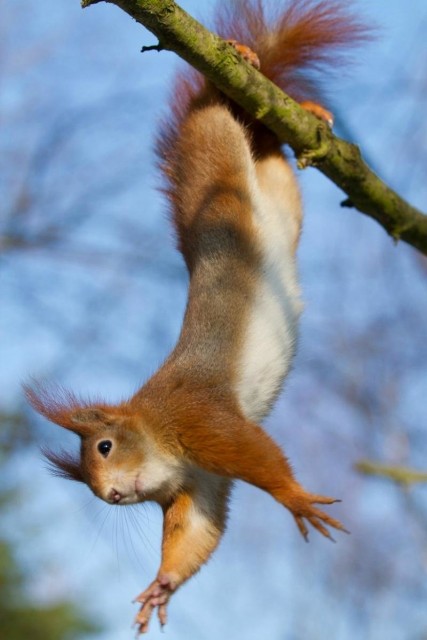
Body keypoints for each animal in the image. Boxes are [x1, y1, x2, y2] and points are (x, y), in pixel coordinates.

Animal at [25, 0, 371, 634]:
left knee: (216, 117)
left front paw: (295, 498)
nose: (111, 498)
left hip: (219, 170)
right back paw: (302, 117)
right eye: (88, 485)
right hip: (279, 200)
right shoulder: (198, 485)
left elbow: (259, 457)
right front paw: (161, 585)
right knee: (271, 156)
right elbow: (198, 532)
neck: (158, 436)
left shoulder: (202, 420)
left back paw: (241, 67)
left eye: (103, 448)